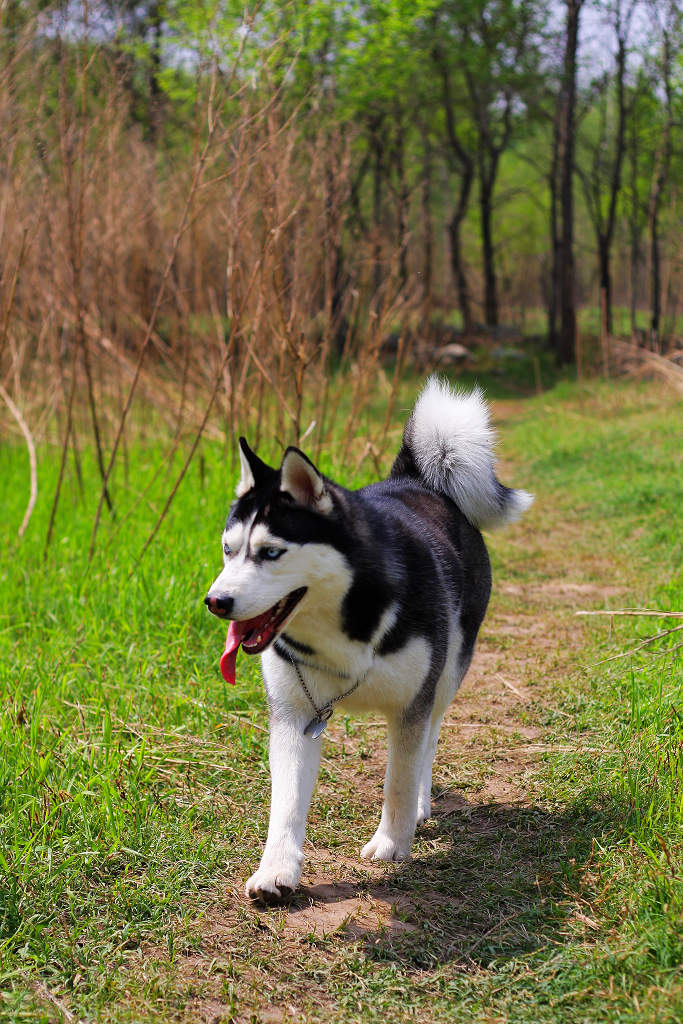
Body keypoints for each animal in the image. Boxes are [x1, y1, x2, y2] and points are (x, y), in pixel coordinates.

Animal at [205, 378, 532, 905]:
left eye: (271, 553)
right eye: (228, 550)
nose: (216, 601)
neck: (343, 623)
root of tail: (415, 479)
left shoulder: (413, 703)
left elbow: (399, 776)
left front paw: (392, 841)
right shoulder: (294, 714)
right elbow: (286, 802)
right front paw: (276, 870)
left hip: (447, 674)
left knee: (429, 743)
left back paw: (419, 805)